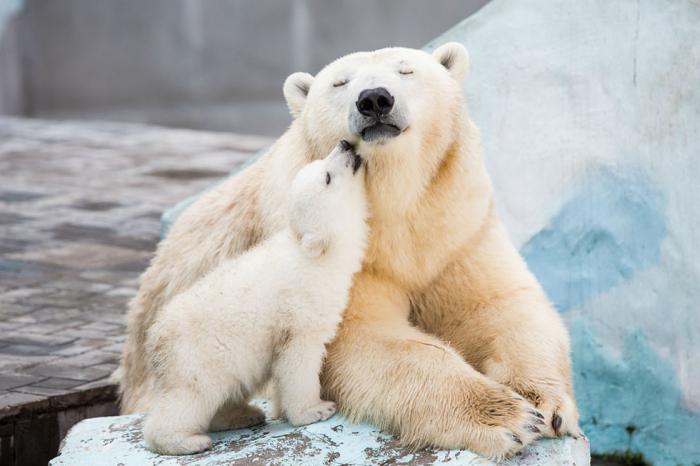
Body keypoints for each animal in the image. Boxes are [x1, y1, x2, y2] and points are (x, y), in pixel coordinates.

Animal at [119, 43, 580, 458]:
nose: (374, 98)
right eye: (339, 82)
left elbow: (499, 306)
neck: (396, 210)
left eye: (407, 70)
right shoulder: (342, 262)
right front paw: (505, 417)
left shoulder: (458, 228)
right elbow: (365, 339)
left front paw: (543, 405)